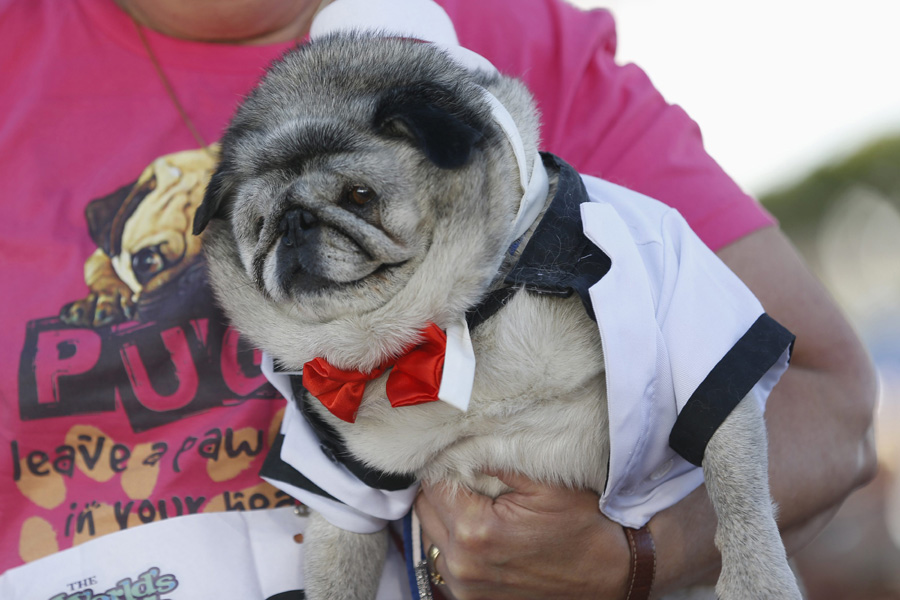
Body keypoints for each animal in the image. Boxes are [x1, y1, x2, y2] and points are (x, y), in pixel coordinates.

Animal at [195, 31, 800, 600]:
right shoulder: (342, 481)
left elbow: (733, 476)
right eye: (259, 225)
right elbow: (338, 564)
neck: (456, 321)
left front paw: (758, 579)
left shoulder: (695, 335)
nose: (294, 222)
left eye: (360, 195)